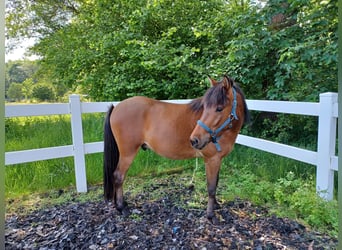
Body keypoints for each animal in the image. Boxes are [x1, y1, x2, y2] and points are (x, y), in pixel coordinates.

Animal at [103, 75, 250, 218]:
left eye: (219, 108)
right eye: (205, 107)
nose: (194, 140)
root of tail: (116, 107)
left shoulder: (218, 159)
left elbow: (217, 182)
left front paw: (216, 205)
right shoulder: (211, 159)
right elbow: (211, 187)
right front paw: (210, 215)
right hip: (127, 153)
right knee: (118, 176)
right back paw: (122, 208)